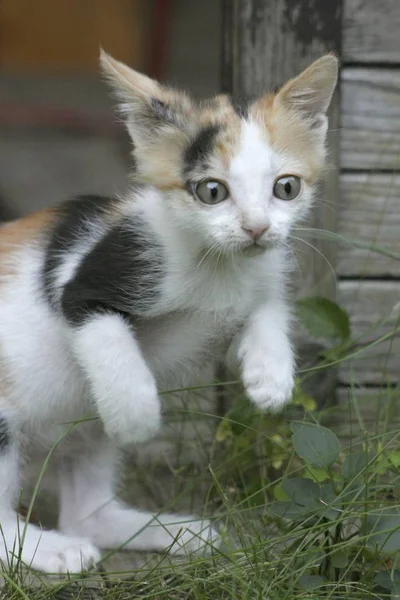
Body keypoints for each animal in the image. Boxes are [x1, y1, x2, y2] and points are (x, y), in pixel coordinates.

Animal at [0, 51, 338, 572]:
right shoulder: (92, 279)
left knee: (86, 513)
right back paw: (49, 549)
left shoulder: (253, 285)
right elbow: (110, 343)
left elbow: (266, 309)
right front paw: (137, 419)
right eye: (212, 192)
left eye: (286, 188)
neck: (218, 264)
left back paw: (172, 532)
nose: (257, 228)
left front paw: (271, 376)